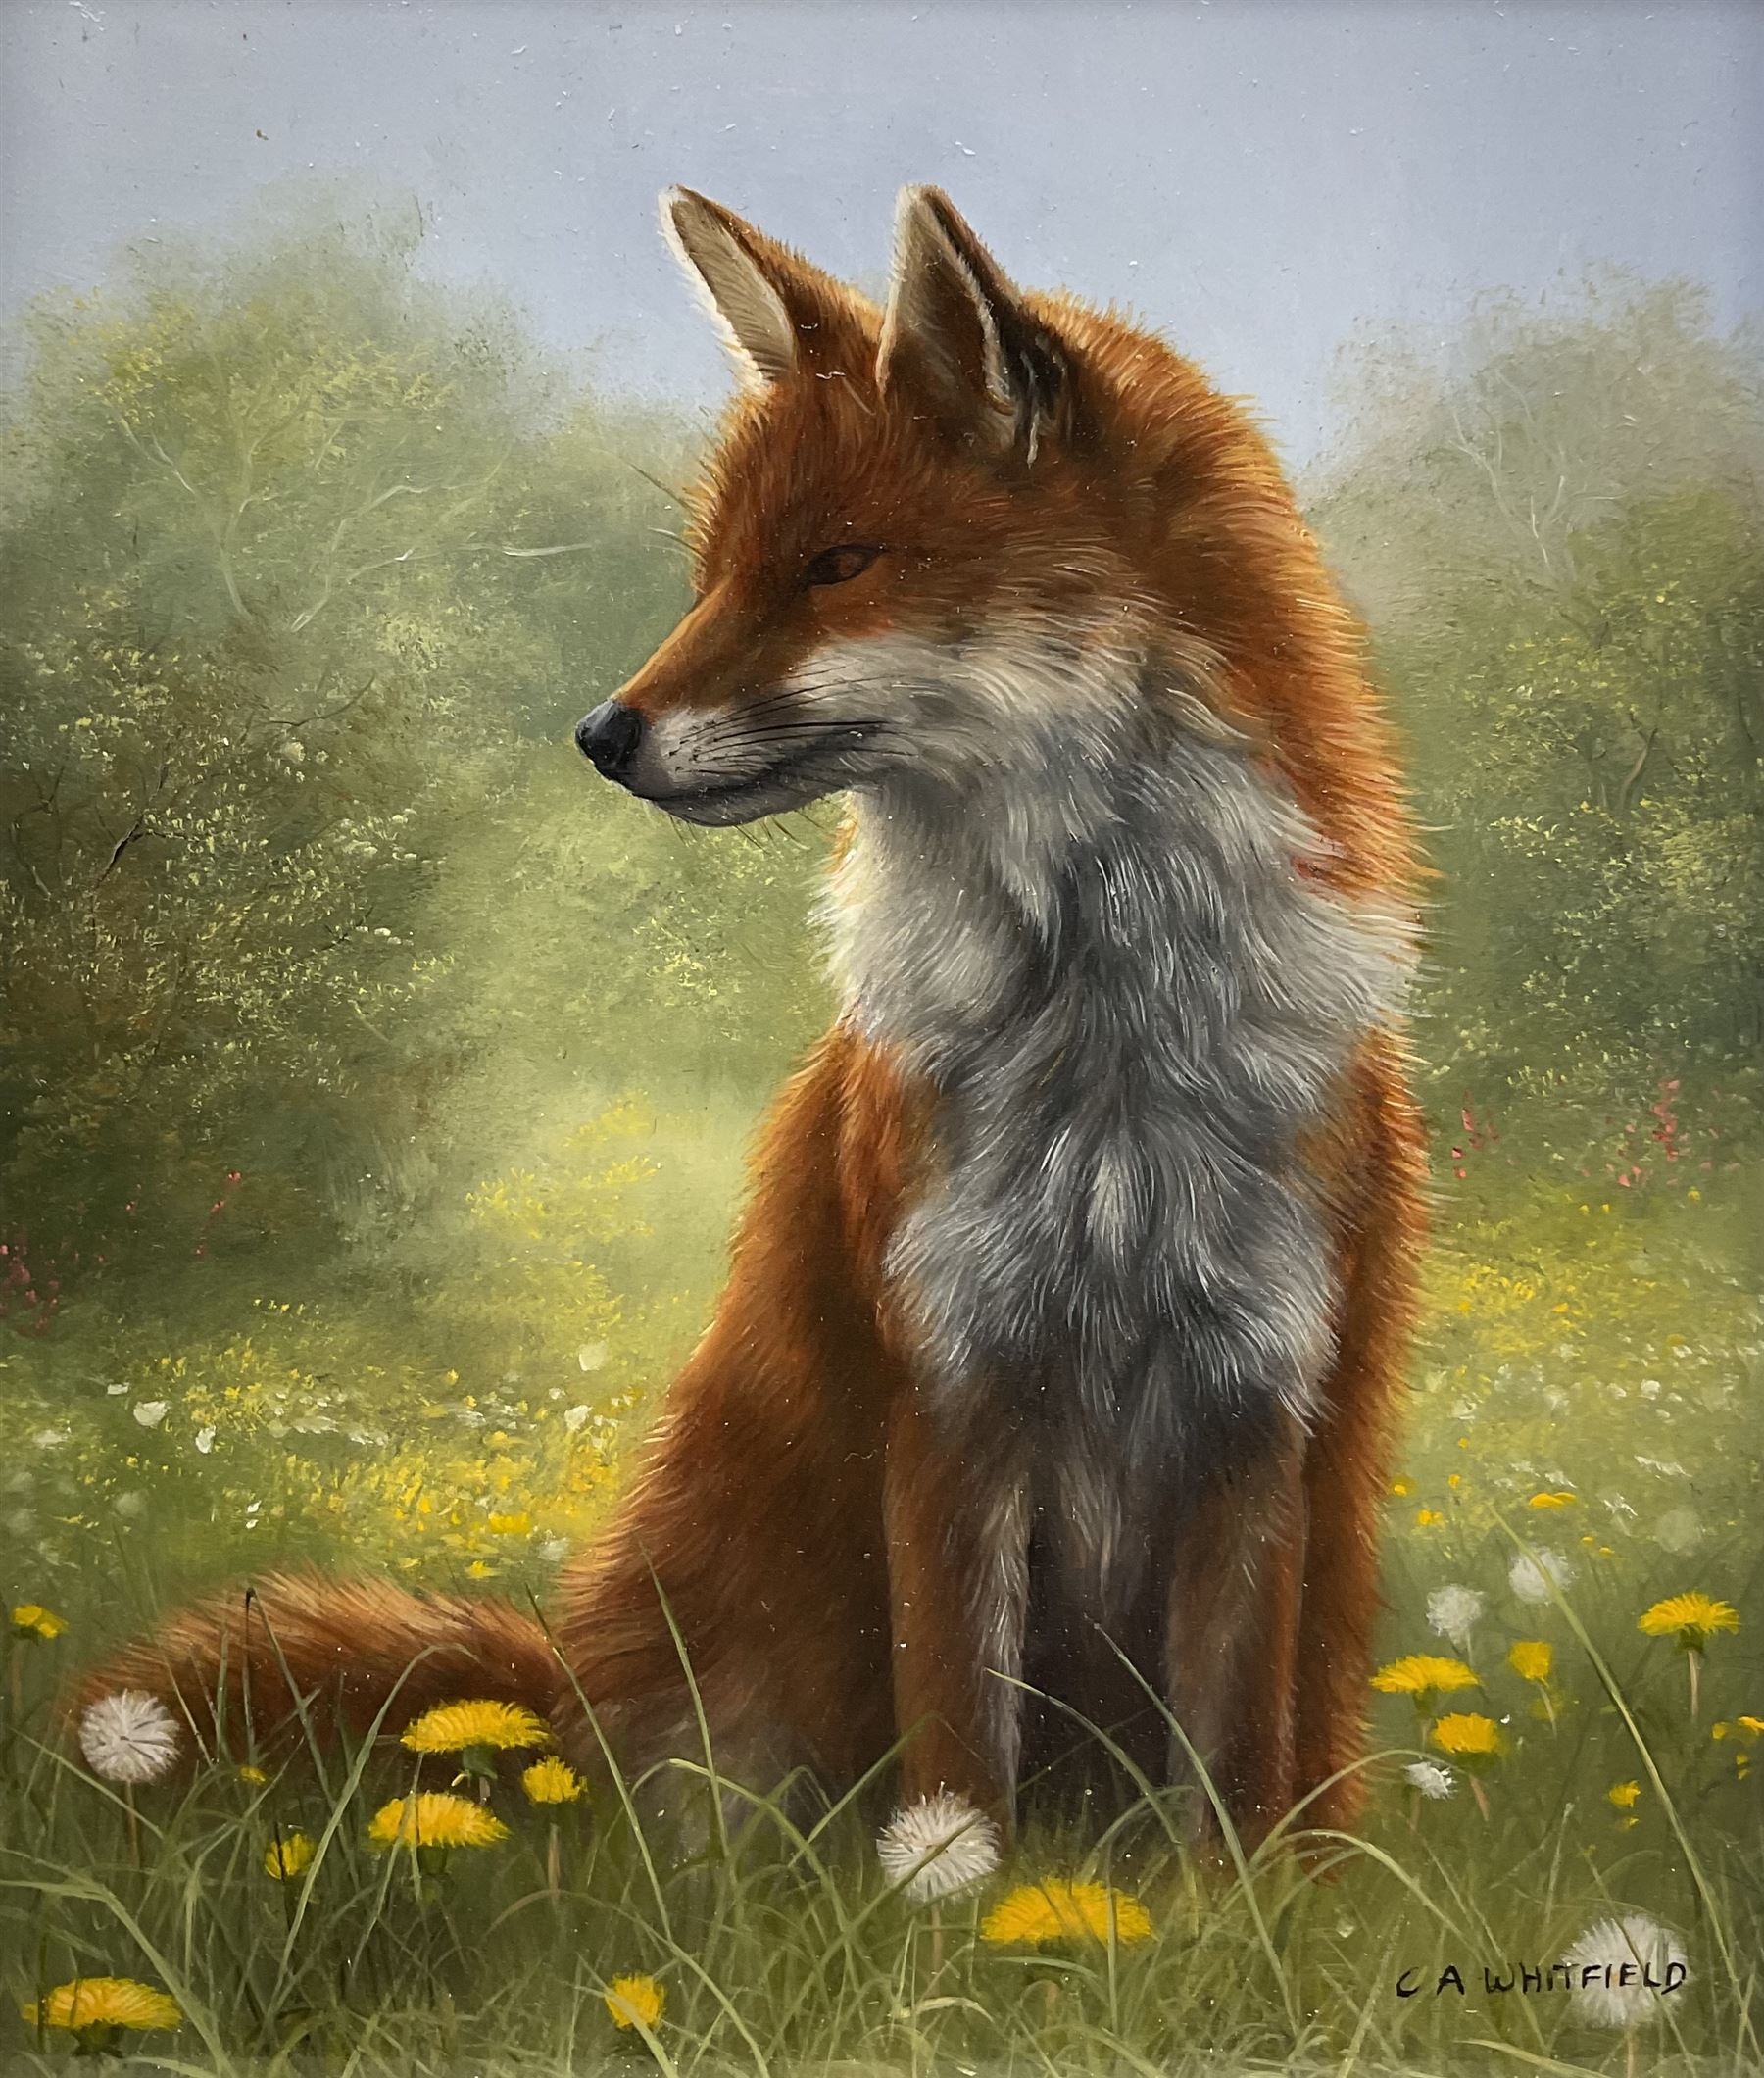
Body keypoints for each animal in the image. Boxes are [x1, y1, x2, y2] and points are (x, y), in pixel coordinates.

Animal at [76, 186, 1425, 1846]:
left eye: (839, 562)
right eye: (715, 571)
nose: (600, 734)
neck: (1102, 1053)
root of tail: (568, 1697)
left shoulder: (1256, 1407)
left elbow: (1229, 1797)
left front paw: (1190, 1912)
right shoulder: (950, 1396)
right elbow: (958, 1761)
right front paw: (957, 1904)